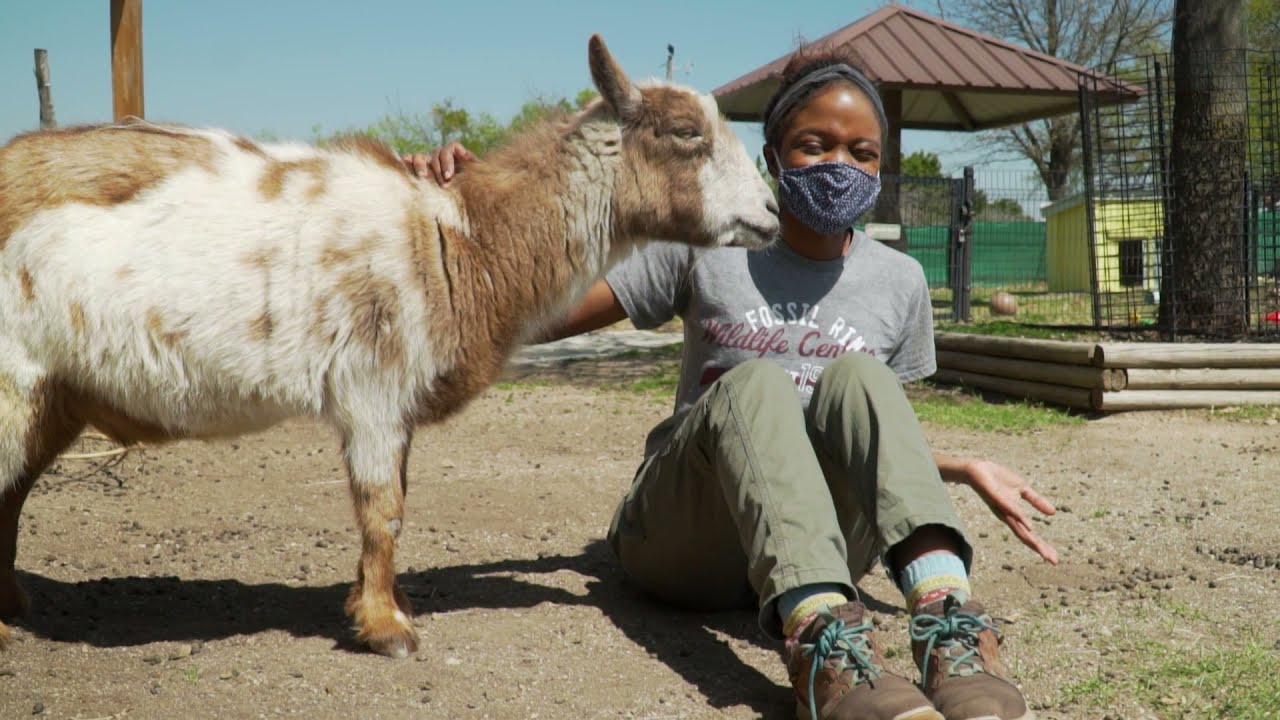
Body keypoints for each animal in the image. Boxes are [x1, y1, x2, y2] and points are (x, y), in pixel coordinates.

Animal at [0, 35, 779, 657]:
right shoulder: (371, 388)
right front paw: (386, 629)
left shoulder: (395, 402)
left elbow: (397, 502)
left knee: (10, 494)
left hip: (55, 395)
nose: (771, 212)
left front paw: (383, 606)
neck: (453, 237)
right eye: (685, 131)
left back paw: (13, 605)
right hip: (15, 382)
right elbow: (384, 511)